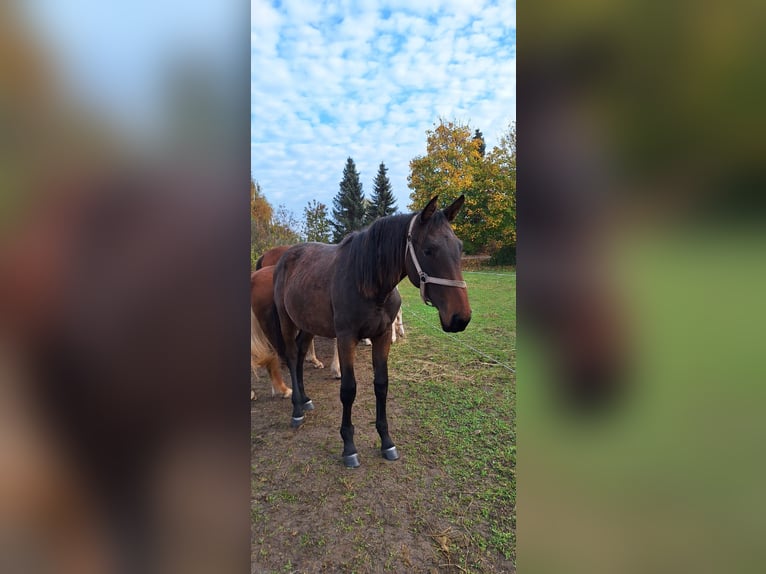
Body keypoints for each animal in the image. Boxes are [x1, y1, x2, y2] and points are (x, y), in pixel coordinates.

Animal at [272, 196, 472, 470]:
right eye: (429, 249)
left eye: (459, 247)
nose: (460, 318)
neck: (367, 282)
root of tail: (285, 257)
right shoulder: (346, 339)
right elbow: (348, 390)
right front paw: (349, 447)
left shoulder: (383, 336)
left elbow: (381, 385)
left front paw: (386, 442)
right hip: (286, 320)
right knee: (292, 358)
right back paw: (297, 411)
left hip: (307, 323)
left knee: (301, 354)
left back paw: (305, 399)